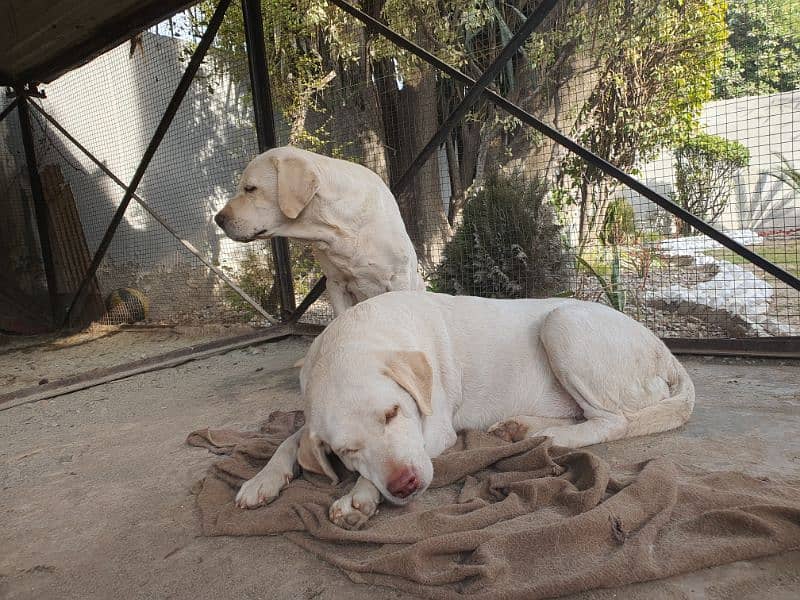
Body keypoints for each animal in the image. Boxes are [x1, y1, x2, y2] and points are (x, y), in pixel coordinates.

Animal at [238, 290, 692, 528]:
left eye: (393, 413)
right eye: (346, 450)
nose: (404, 485)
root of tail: (664, 350)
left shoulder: (434, 430)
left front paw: (358, 496)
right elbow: (290, 441)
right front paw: (263, 479)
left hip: (562, 324)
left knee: (612, 421)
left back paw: (547, 434)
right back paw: (521, 427)